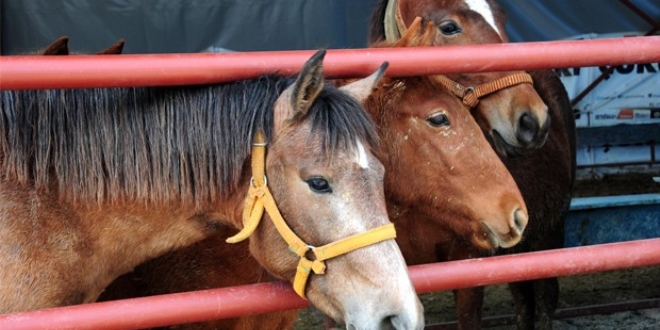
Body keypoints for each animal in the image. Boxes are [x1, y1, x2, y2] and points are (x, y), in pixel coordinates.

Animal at [368, 1, 576, 328]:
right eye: (449, 27)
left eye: (503, 19)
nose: (534, 120)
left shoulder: (468, 265)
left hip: (549, 236)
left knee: (544, 300)